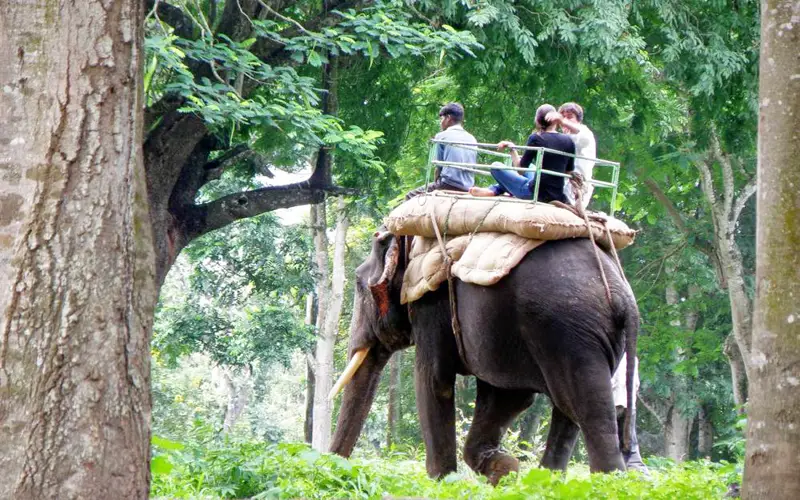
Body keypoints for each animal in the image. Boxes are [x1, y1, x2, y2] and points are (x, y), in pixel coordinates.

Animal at [329, 231, 639, 485]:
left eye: (357, 283)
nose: (335, 467)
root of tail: (623, 296)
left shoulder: (430, 304)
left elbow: (434, 381)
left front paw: (444, 483)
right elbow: (508, 397)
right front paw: (504, 470)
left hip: (567, 332)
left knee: (587, 410)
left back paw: (608, 482)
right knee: (569, 412)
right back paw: (547, 481)